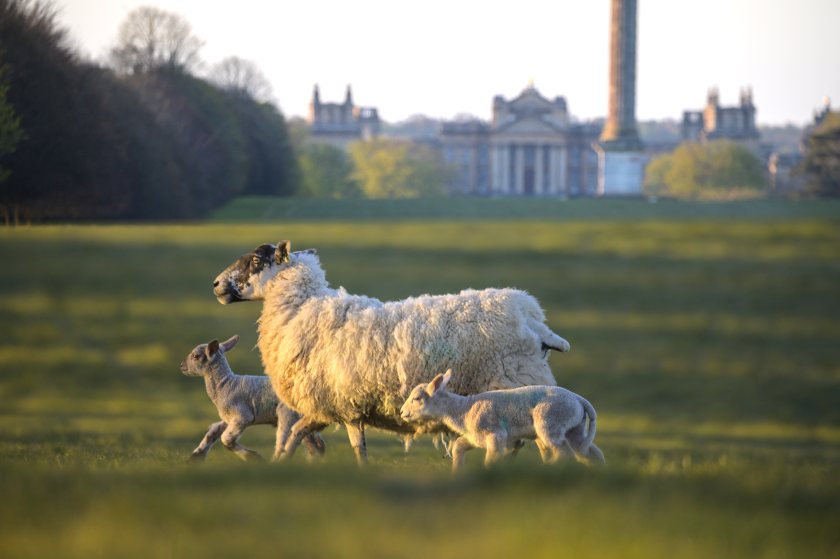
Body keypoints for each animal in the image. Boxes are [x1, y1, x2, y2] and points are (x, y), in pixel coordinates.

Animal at [180, 334, 324, 462]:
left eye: (196, 356)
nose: (181, 365)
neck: (225, 385)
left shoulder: (243, 416)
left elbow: (226, 439)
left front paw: (253, 457)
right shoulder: (229, 418)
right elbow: (213, 431)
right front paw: (195, 457)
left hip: (287, 414)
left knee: (285, 441)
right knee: (314, 444)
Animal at [213, 241, 576, 464]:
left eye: (256, 260)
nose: (216, 284)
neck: (301, 308)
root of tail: (534, 319)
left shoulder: (339, 404)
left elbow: (337, 443)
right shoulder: (335, 406)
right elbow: (303, 435)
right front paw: (282, 460)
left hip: (514, 389)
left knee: (529, 441)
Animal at [400, 372, 604, 472]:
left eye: (417, 398)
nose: (402, 412)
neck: (463, 410)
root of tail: (579, 400)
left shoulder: (495, 435)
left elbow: (490, 459)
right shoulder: (476, 438)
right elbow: (458, 446)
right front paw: (457, 472)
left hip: (550, 422)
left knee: (564, 452)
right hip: (574, 428)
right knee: (590, 452)